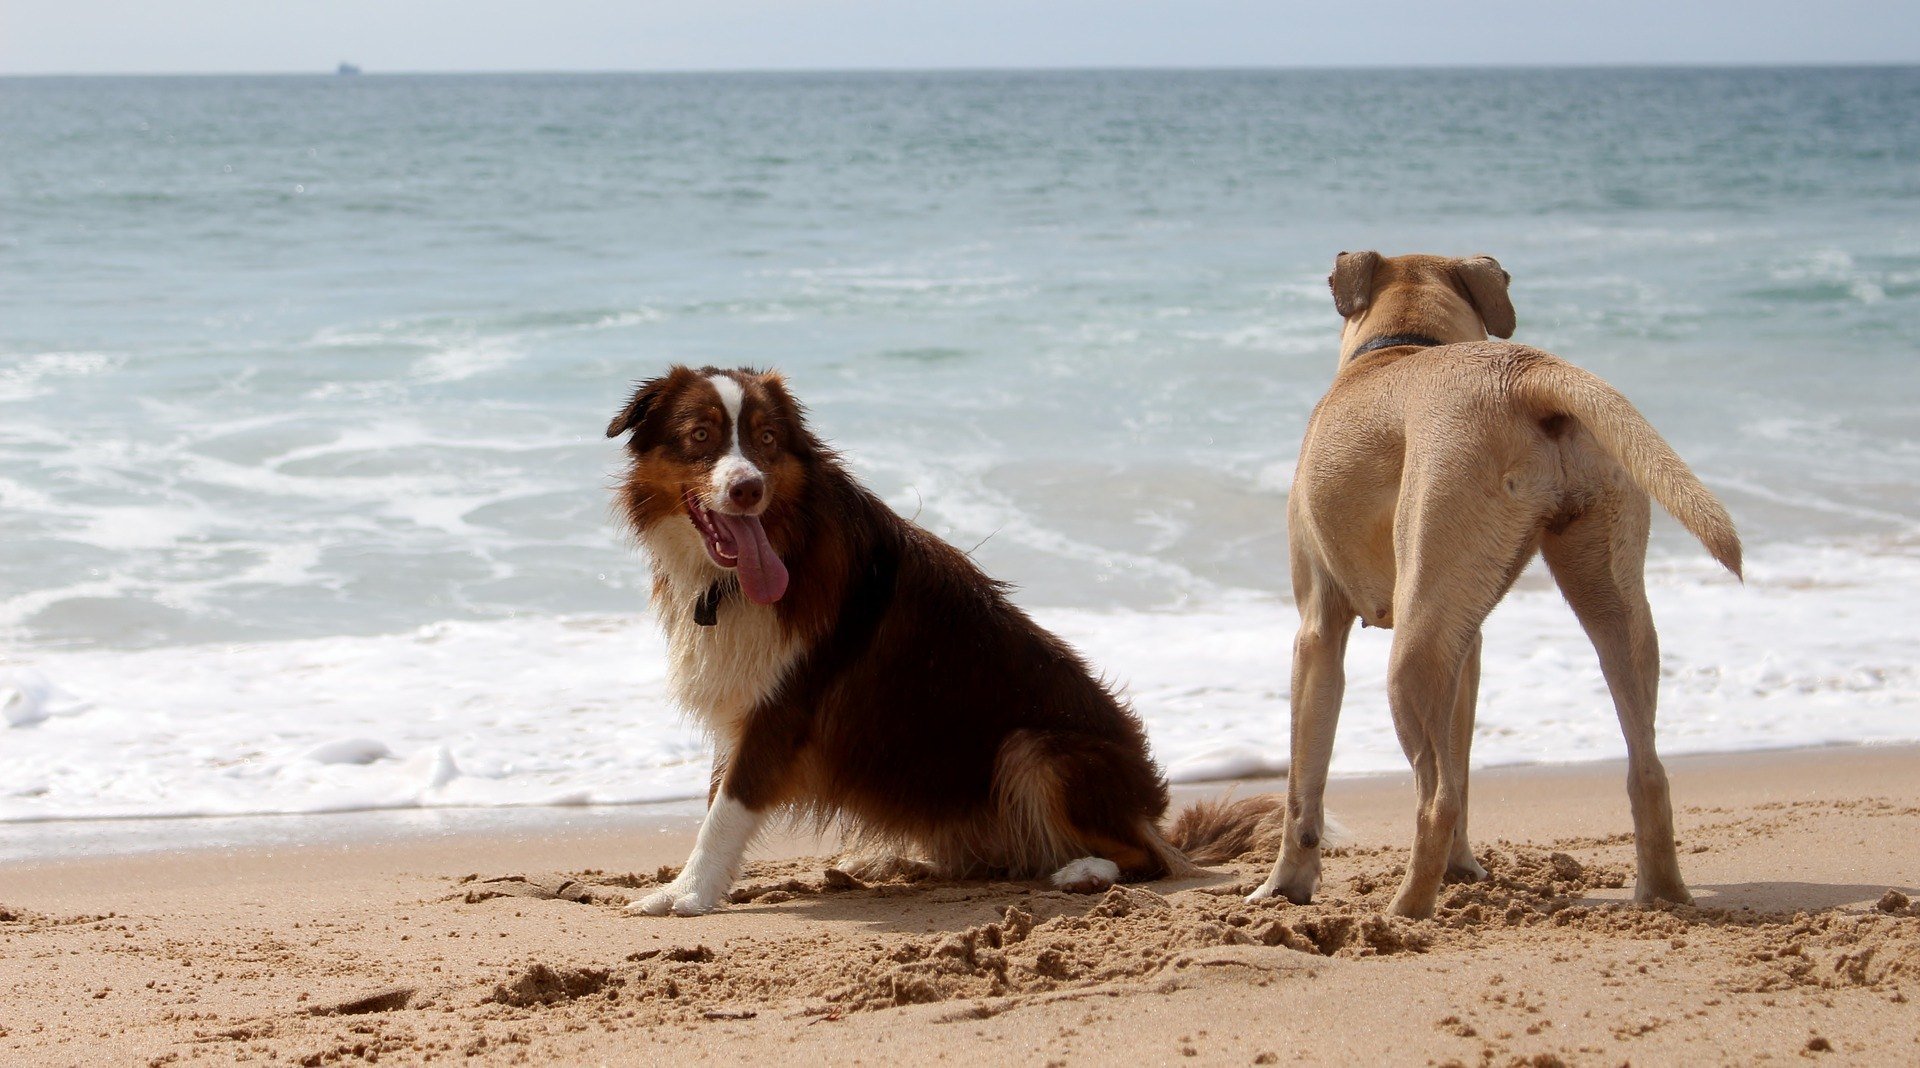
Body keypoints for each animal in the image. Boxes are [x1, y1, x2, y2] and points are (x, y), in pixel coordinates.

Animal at [606, 368, 1213, 918]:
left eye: (769, 438)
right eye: (700, 435)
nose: (748, 488)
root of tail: (1149, 806)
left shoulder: (785, 704)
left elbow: (726, 808)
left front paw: (685, 894)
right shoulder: (745, 695)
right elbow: (716, 796)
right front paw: (691, 887)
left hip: (1037, 750)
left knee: (1151, 858)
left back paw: (1083, 871)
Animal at [1251, 249, 1751, 918]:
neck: (1404, 340)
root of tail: (1525, 374)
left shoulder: (1317, 634)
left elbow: (1303, 786)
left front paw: (1285, 886)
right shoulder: (1469, 651)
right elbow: (1462, 766)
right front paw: (1463, 870)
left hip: (1412, 650)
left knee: (1433, 800)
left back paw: (1404, 911)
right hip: (1610, 602)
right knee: (1644, 767)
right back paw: (1661, 894)